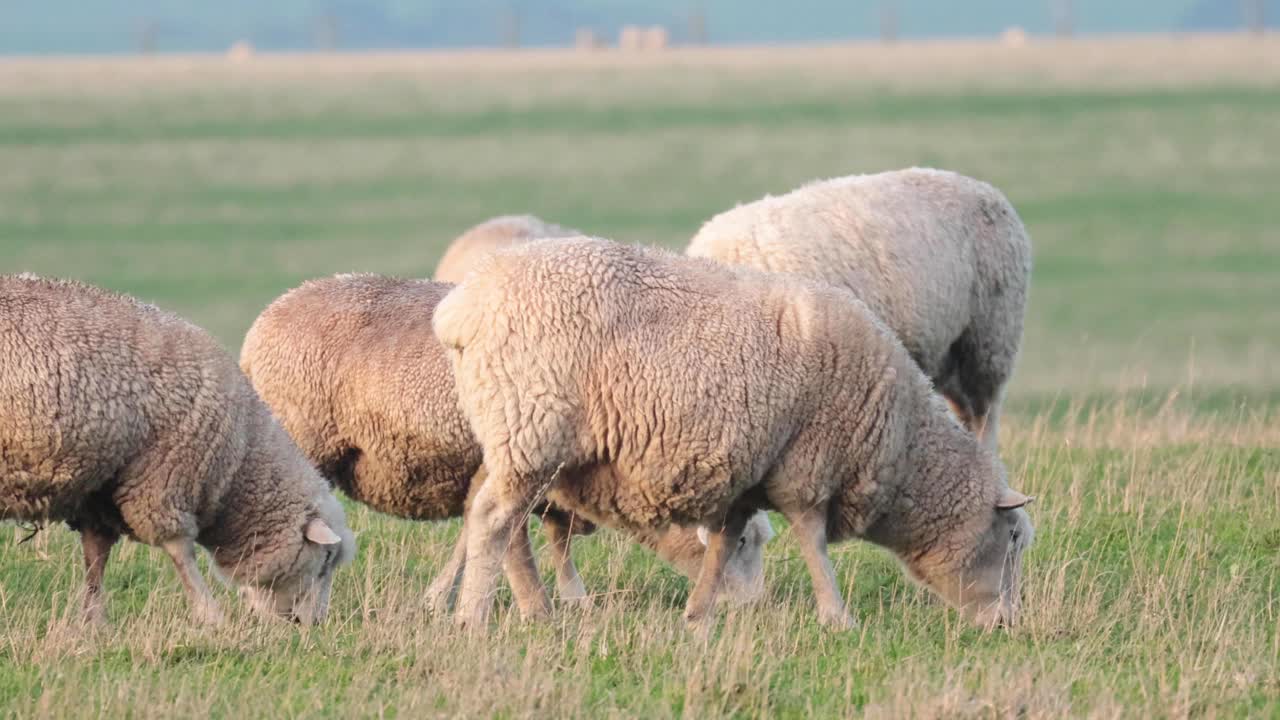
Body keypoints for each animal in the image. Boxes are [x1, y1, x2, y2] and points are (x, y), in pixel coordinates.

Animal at [0, 272, 353, 622]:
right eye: (325, 560)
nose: (314, 624)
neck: (240, 458)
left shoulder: (101, 489)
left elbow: (95, 556)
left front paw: (92, 620)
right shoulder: (164, 478)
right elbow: (180, 550)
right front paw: (212, 616)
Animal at [435, 237, 1034, 627]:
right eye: (1013, 539)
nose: (1007, 625)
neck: (904, 446)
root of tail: (462, 307)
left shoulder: (747, 478)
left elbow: (723, 546)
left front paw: (698, 616)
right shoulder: (806, 466)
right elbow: (813, 542)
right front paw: (836, 617)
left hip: (509, 438)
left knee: (500, 521)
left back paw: (533, 609)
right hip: (532, 429)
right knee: (494, 520)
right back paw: (474, 618)